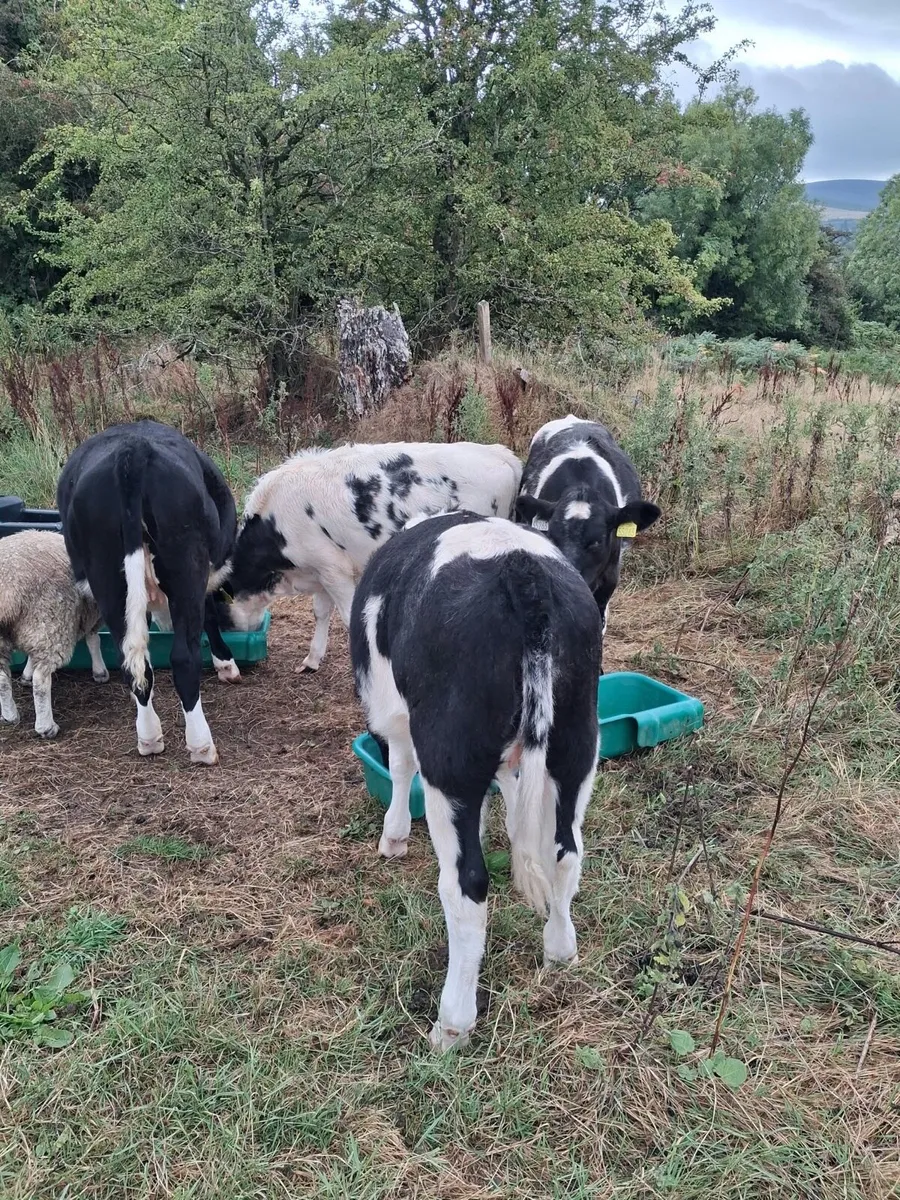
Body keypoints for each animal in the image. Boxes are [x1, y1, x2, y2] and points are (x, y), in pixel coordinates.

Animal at [56, 420, 239, 765]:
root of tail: (132, 449)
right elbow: (209, 616)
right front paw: (226, 664)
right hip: (186, 568)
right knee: (183, 658)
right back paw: (201, 746)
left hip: (108, 580)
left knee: (133, 662)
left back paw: (149, 738)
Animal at [215, 441, 523, 672]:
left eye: (217, 607)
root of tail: (500, 453)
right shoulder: (321, 569)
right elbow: (320, 612)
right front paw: (312, 660)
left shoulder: (334, 569)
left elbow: (349, 615)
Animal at [350, 510, 600, 1051]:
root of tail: (522, 571)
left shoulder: (393, 711)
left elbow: (399, 767)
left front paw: (394, 837)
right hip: (578, 740)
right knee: (565, 852)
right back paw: (560, 951)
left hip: (449, 754)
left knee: (466, 885)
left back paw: (452, 1023)